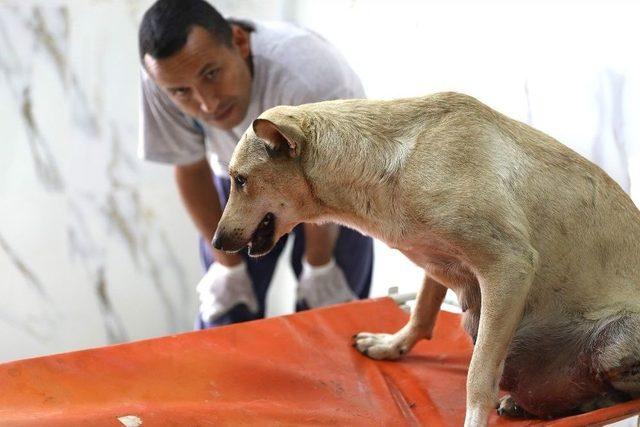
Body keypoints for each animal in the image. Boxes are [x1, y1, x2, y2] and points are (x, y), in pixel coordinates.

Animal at [212, 92, 640, 426]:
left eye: (239, 179)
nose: (216, 242)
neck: (394, 162)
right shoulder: (439, 264)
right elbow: (422, 311)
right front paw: (391, 345)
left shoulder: (509, 266)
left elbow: (478, 376)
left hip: (612, 345)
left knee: (621, 393)